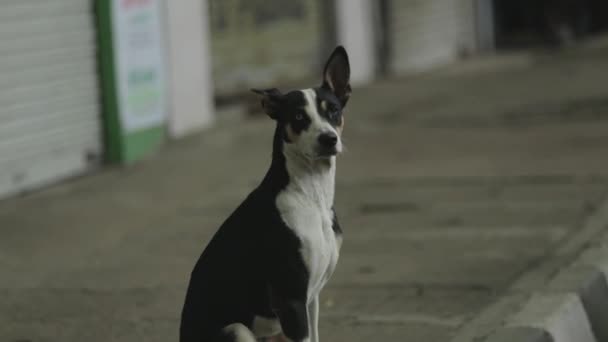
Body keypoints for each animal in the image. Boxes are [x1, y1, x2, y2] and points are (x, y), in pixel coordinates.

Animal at [179, 46, 352, 342]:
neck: (311, 196)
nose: (329, 139)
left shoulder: (311, 300)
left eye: (334, 111)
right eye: (298, 117)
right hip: (237, 329)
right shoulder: (291, 299)